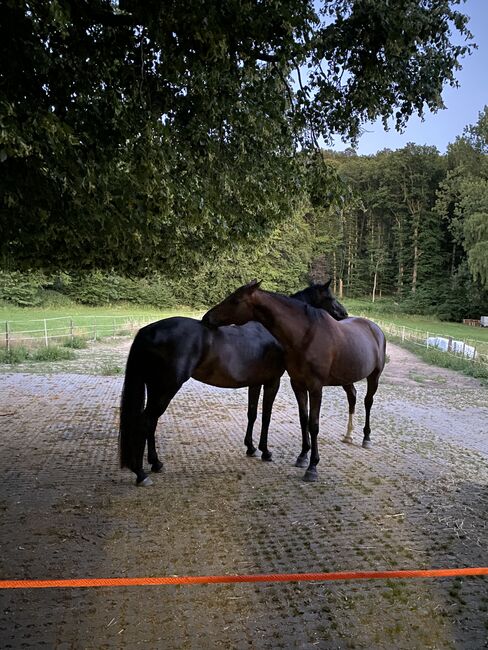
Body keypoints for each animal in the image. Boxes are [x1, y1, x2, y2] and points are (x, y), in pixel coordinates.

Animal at [119, 280, 348, 485]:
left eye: (234, 299)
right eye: (330, 298)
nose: (344, 315)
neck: (274, 333)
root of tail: (147, 331)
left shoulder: (256, 382)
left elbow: (252, 413)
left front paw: (251, 448)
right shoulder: (272, 382)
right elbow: (266, 416)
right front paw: (265, 451)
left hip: (155, 388)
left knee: (152, 422)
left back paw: (156, 463)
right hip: (166, 388)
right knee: (146, 421)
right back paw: (141, 473)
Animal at [202, 280, 386, 482]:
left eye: (235, 300)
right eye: (330, 297)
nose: (206, 318)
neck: (306, 336)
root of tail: (374, 328)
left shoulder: (313, 387)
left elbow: (312, 424)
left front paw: (312, 467)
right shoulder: (296, 384)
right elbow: (301, 419)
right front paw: (302, 456)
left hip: (374, 376)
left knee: (368, 402)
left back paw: (366, 438)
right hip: (347, 378)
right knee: (352, 397)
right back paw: (348, 435)